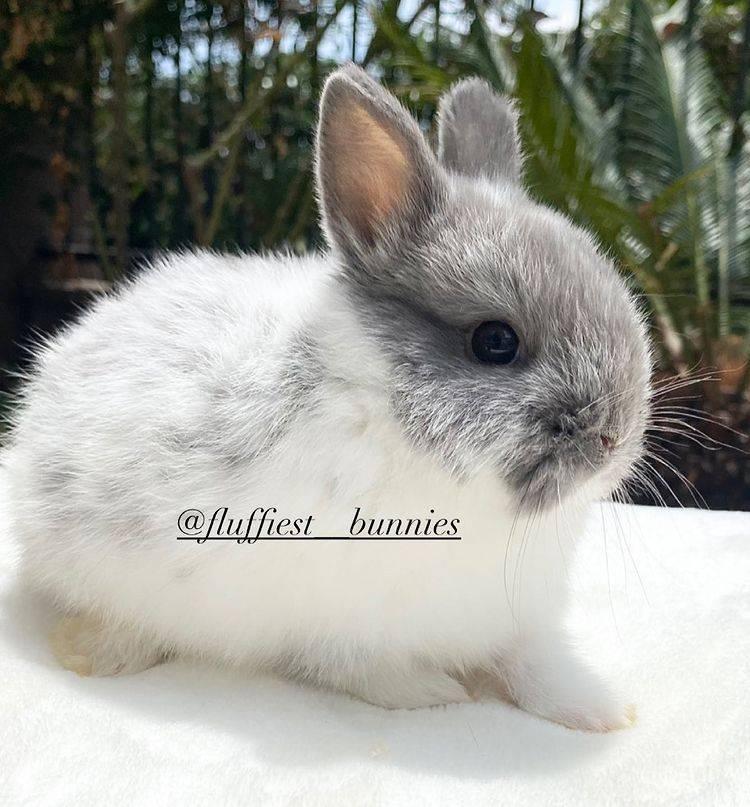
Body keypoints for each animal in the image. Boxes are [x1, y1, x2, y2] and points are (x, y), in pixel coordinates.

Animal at [3, 65, 651, 731]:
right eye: (495, 342)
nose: (614, 438)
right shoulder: (339, 624)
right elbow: (366, 670)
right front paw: (434, 692)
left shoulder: (515, 619)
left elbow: (534, 666)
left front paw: (602, 711)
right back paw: (96, 651)